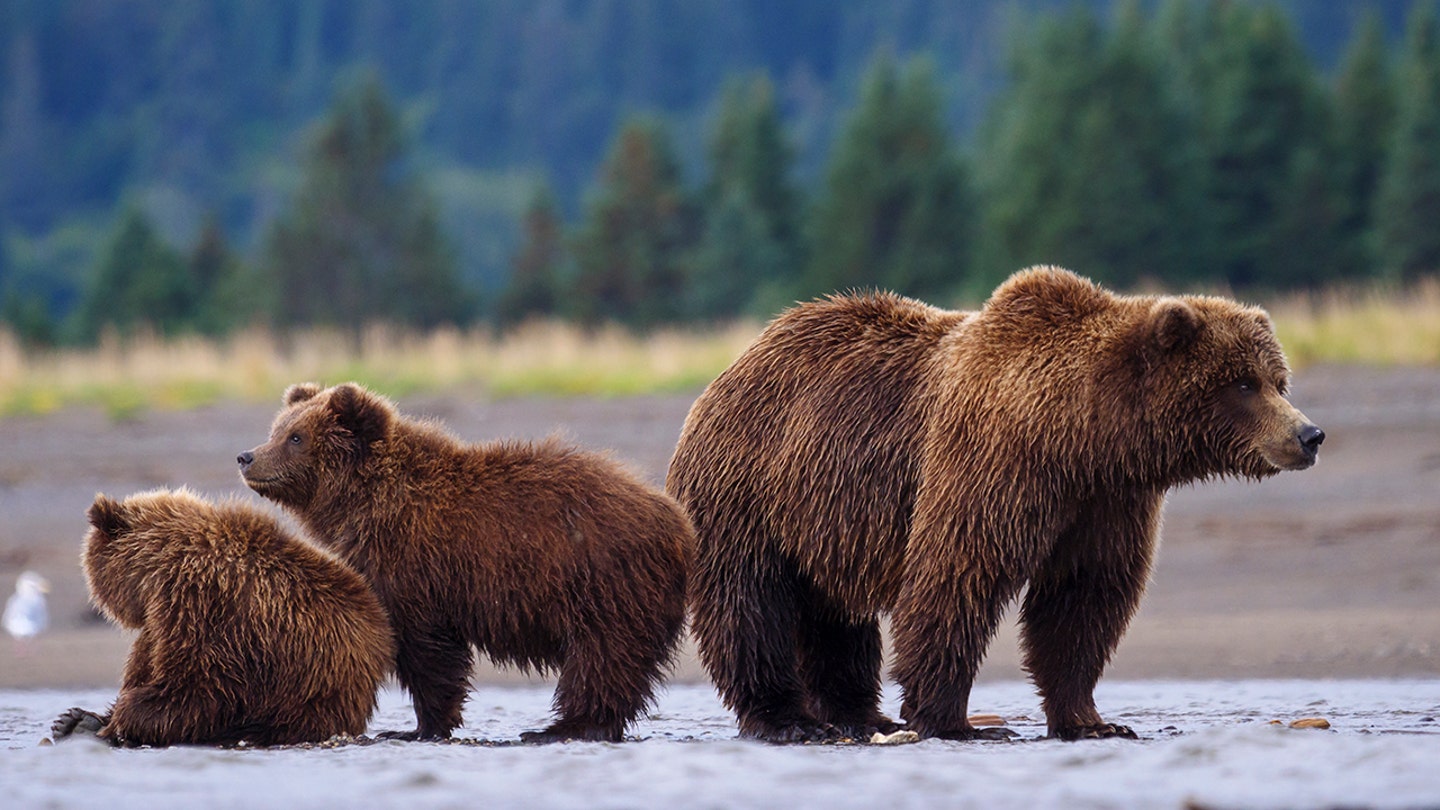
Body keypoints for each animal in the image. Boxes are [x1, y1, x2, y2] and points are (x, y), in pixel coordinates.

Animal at [54, 484, 394, 743]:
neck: (160, 565)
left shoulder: (200, 601)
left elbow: (199, 687)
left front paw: (118, 719)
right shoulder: (161, 617)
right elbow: (148, 662)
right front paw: (76, 719)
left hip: (307, 694)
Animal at [237, 380, 696, 743]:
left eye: (296, 437)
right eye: (277, 429)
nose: (247, 456)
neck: (364, 505)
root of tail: (677, 522)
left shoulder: (415, 566)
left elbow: (427, 651)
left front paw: (418, 726)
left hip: (603, 580)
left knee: (601, 658)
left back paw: (559, 728)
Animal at [668, 268, 1319, 743]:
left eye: (1277, 379)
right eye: (1241, 383)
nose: (1309, 434)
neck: (1085, 436)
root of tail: (731, 368)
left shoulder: (1106, 502)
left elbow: (1083, 600)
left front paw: (1093, 721)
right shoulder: (994, 464)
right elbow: (956, 576)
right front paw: (954, 722)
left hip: (820, 517)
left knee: (835, 617)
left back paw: (860, 715)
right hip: (748, 492)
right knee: (751, 606)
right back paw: (789, 720)